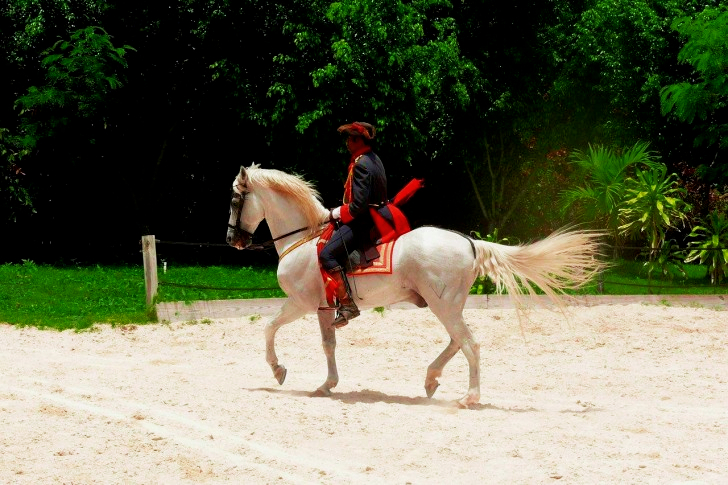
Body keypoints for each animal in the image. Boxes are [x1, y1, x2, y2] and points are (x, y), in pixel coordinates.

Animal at [226, 164, 605, 407]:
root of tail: (469, 242)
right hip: (447, 304)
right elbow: (328, 345)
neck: (303, 238)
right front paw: (326, 385)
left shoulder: (301, 303)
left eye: (234, 201)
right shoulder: (323, 308)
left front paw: (278, 370)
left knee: (470, 344)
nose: (232, 240)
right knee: (457, 341)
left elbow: (268, 327)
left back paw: (469, 397)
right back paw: (431, 378)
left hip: (443, 305)